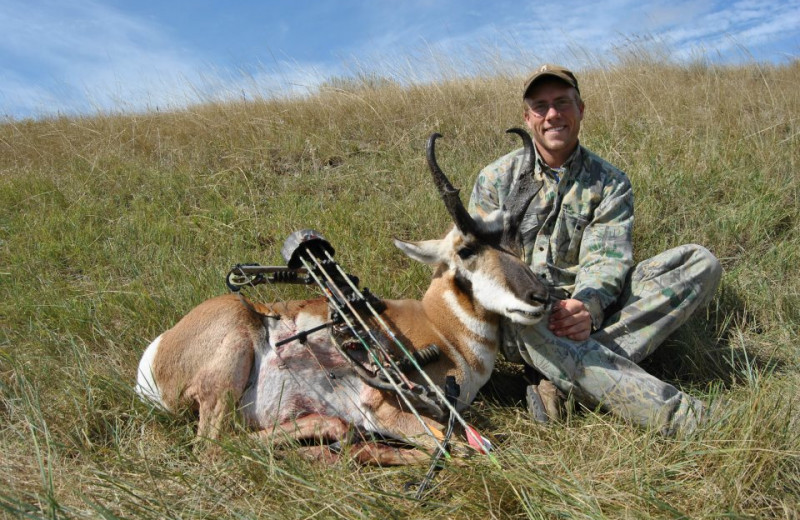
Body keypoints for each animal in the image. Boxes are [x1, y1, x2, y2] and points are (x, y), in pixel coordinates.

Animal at [138, 129, 552, 464]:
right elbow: (461, 449)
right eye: (466, 250)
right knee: (212, 447)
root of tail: (156, 351)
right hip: (232, 355)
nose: (541, 296)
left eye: (515, 242)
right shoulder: (385, 408)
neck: (442, 327)